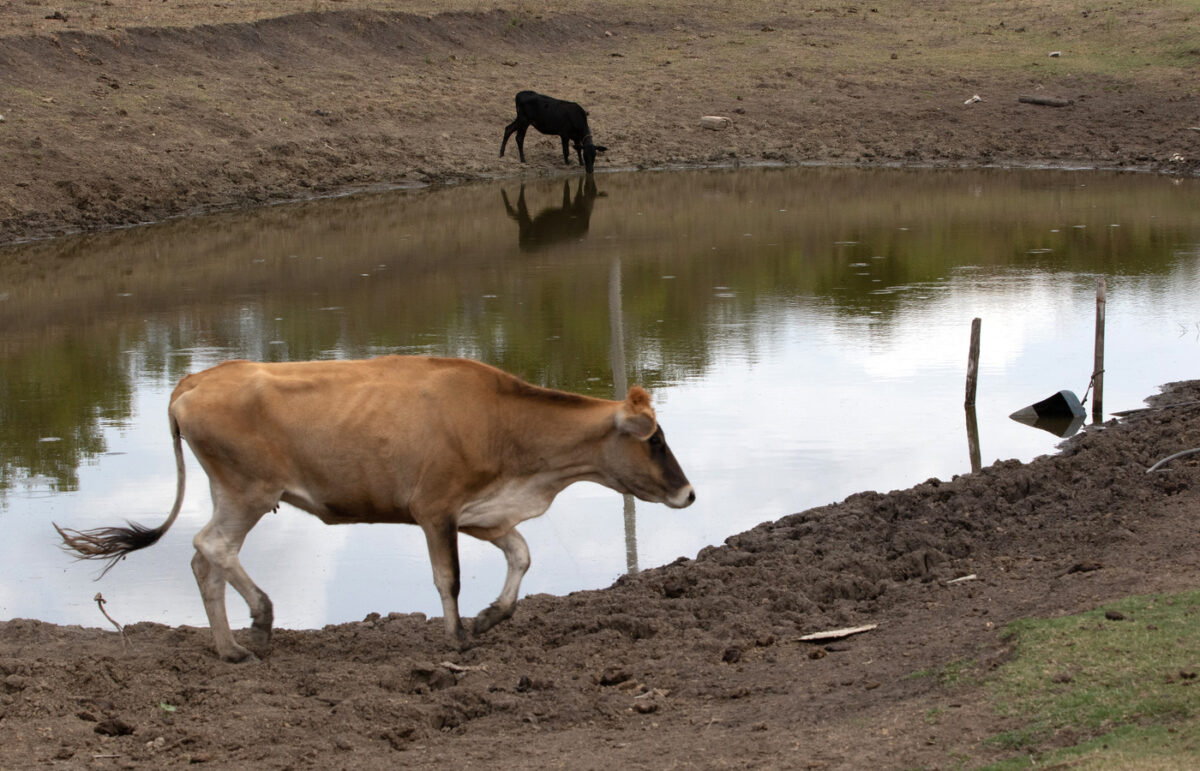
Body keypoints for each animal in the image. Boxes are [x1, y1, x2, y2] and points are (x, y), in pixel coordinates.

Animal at [56, 355, 696, 662]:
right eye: (656, 441)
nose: (689, 494)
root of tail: (197, 379)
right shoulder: (436, 508)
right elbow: (448, 578)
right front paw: (458, 638)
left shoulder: (485, 513)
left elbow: (522, 555)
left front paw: (491, 618)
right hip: (249, 490)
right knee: (212, 547)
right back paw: (259, 619)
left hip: (230, 492)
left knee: (203, 559)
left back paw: (230, 647)